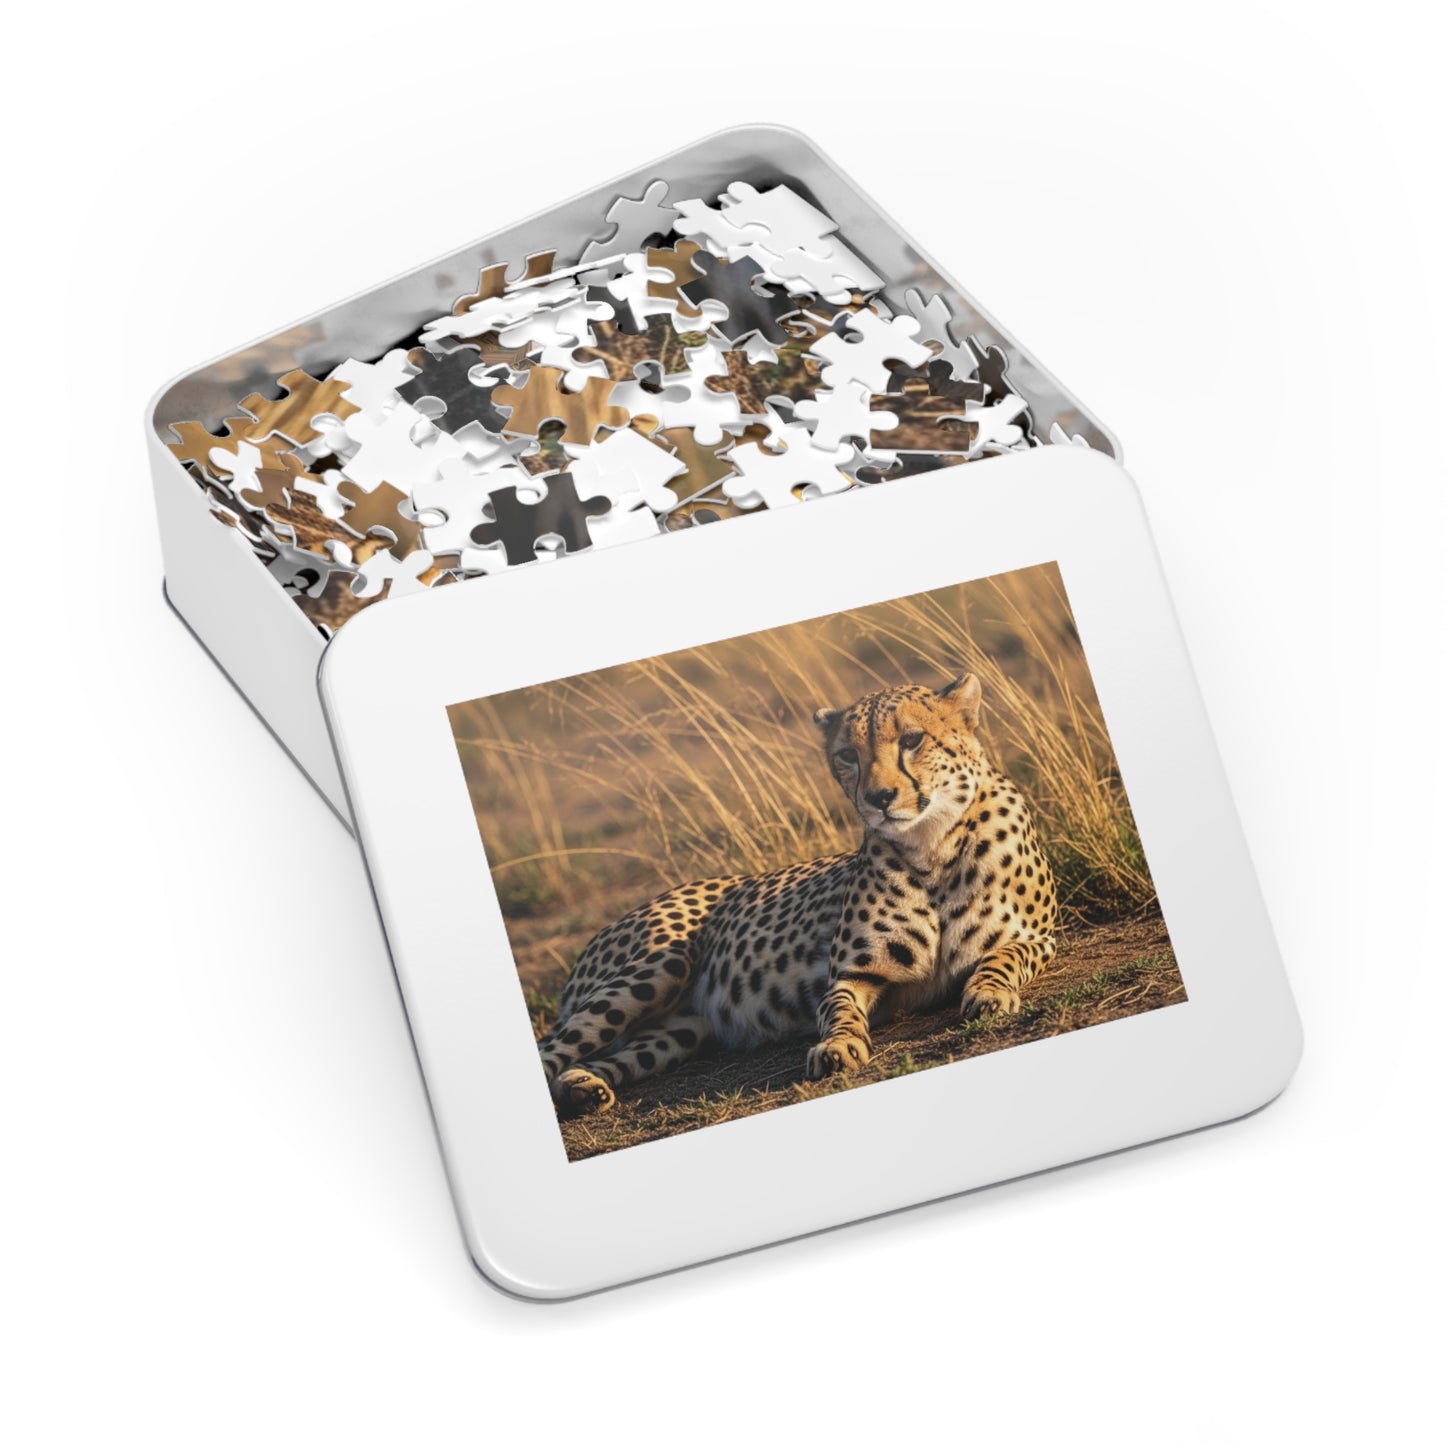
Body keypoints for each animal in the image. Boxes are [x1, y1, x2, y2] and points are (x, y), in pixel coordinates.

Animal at [536, 674, 1058, 1116]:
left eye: (912, 740)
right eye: (847, 754)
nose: (879, 798)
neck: (932, 846)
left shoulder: (1041, 938)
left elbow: (1003, 956)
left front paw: (989, 992)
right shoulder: (851, 973)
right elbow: (840, 1010)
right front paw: (837, 1047)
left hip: (678, 1031)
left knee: (599, 1058)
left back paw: (583, 1087)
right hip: (660, 966)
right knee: (551, 1050)